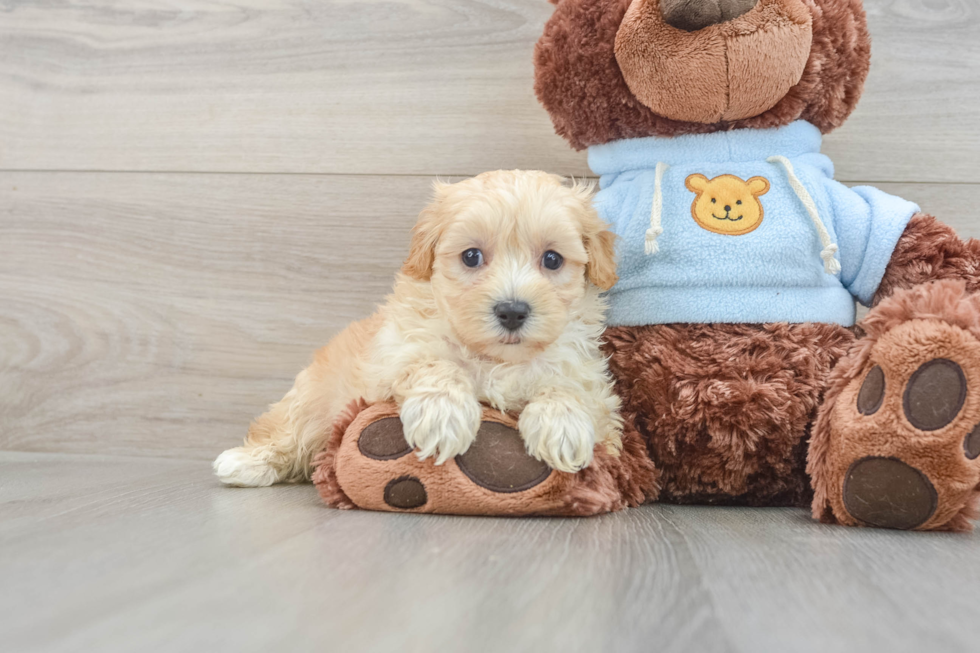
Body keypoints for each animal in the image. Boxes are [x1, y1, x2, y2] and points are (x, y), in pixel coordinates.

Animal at [213, 171, 620, 486]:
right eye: (471, 256)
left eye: (552, 259)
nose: (512, 311)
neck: (497, 359)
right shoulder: (392, 355)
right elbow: (434, 363)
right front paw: (442, 416)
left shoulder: (597, 389)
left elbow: (571, 388)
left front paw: (562, 426)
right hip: (312, 398)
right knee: (286, 432)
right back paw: (245, 463)